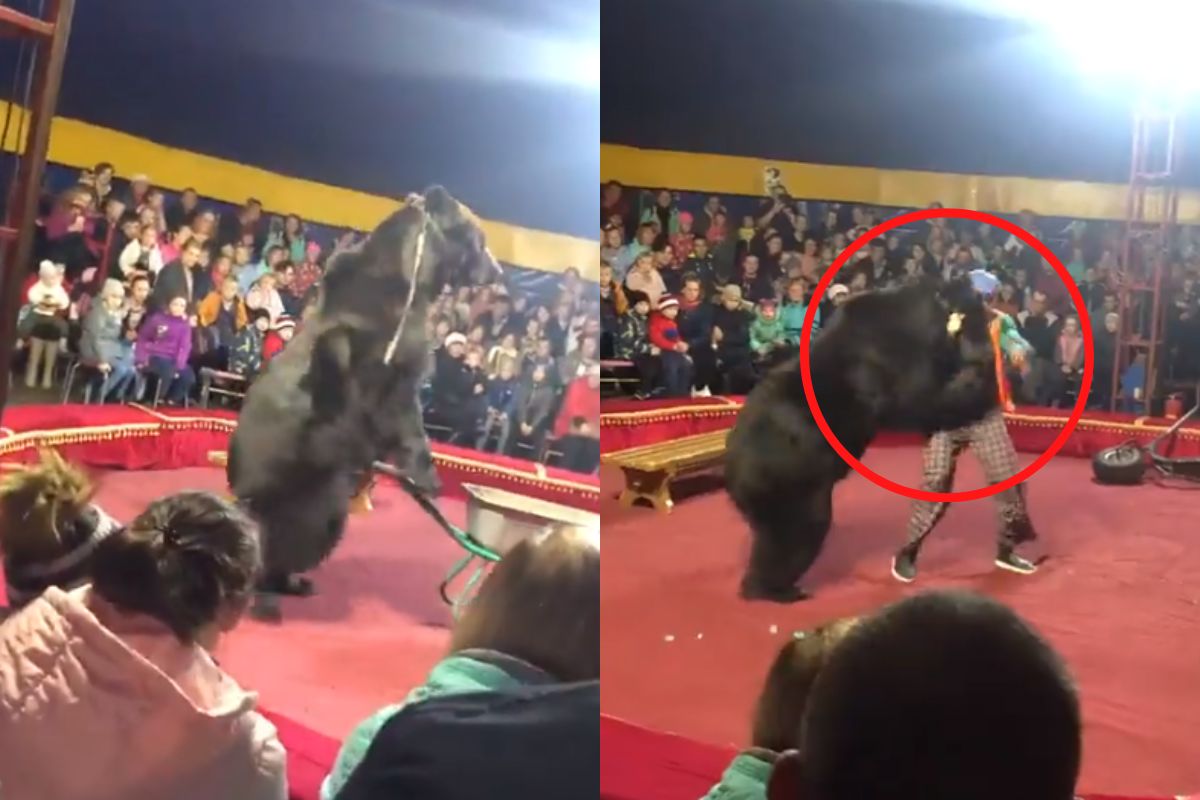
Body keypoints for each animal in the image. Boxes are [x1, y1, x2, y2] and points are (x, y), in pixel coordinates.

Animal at [226, 185, 499, 618]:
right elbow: (398, 408)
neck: (415, 274)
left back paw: (294, 582)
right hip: (286, 494)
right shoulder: (381, 356)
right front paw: (427, 475)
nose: (498, 271)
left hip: (321, 494)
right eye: (480, 238)